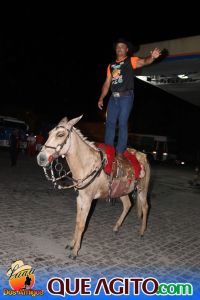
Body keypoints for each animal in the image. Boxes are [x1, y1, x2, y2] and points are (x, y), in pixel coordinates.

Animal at [37, 116, 150, 258]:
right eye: (49, 133)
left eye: (60, 134)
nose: (41, 158)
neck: (86, 165)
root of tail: (142, 156)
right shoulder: (80, 198)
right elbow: (78, 221)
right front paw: (72, 244)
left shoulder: (88, 200)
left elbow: (82, 224)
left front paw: (75, 251)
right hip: (122, 191)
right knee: (128, 205)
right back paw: (116, 227)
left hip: (142, 190)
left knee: (145, 207)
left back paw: (142, 231)